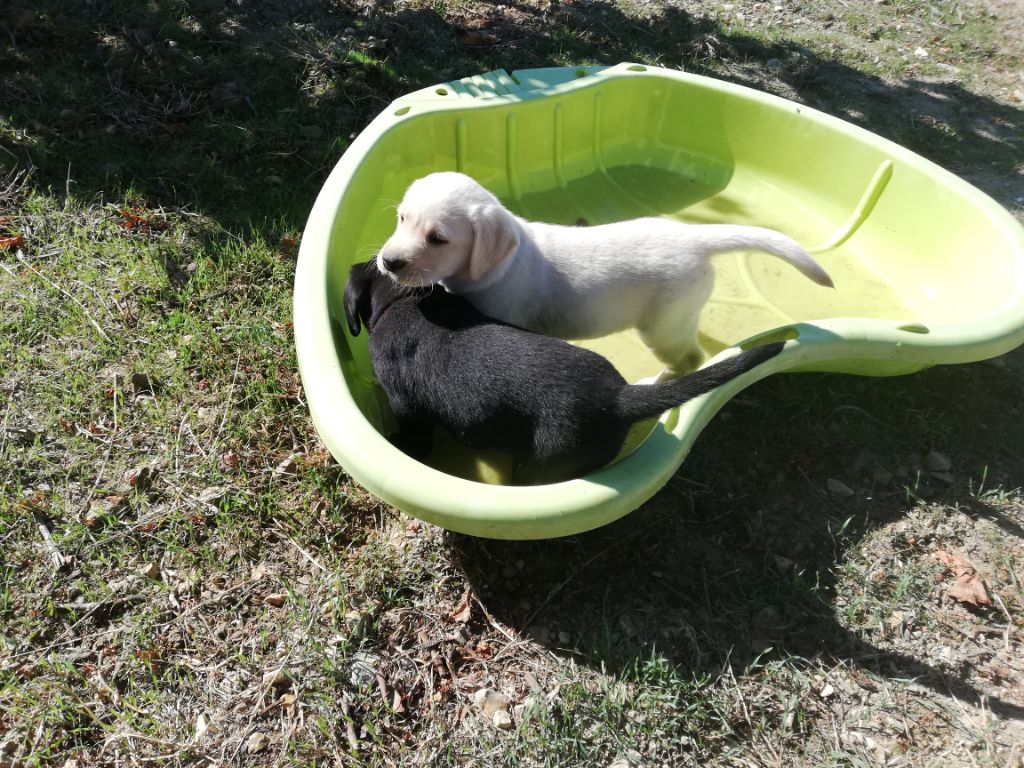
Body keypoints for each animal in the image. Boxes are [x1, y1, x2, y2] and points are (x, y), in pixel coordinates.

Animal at [344, 262, 782, 483]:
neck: (404, 300)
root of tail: (617, 398)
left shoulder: (407, 406)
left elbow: (414, 438)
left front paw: (398, 443)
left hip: (546, 457)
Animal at [376, 175, 831, 378]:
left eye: (439, 239)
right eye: (402, 219)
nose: (388, 261)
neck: (494, 268)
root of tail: (693, 236)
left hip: (662, 327)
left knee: (691, 359)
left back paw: (662, 379)